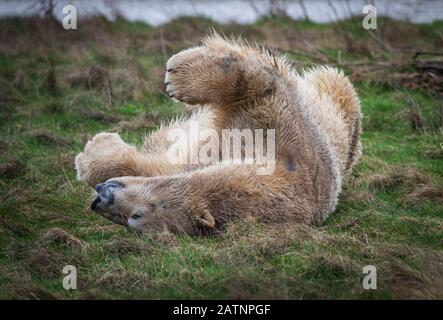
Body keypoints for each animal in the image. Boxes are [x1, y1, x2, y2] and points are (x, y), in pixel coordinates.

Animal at [74, 34, 362, 235]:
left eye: (135, 218)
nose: (101, 199)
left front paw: (92, 153)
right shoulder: (285, 132)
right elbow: (258, 83)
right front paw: (178, 74)